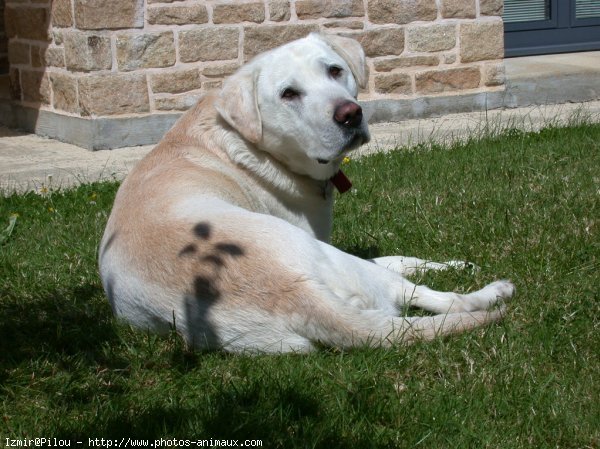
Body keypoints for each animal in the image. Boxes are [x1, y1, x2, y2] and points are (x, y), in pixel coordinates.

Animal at [99, 32, 516, 354]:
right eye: (288, 94)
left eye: (334, 70)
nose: (350, 114)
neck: (254, 148)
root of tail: (295, 297)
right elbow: (396, 263)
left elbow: (396, 257)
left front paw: (455, 264)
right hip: (340, 265)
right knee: (431, 297)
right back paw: (491, 293)